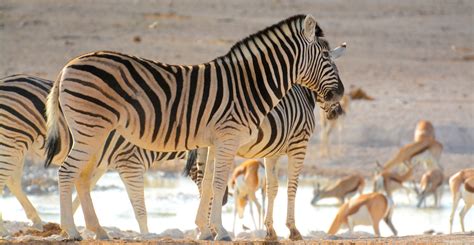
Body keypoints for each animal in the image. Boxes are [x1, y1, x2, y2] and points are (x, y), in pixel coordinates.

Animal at [0, 74, 186, 235]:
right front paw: (146, 235)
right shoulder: (129, 161)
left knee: (12, 179)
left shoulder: (102, 163)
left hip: (17, 144)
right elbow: (139, 205)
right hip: (13, 140)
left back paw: (36, 221)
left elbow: (85, 187)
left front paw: (72, 225)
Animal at [45, 14, 344, 240]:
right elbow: (220, 183)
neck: (247, 85)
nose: (339, 96)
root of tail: (67, 66)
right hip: (89, 129)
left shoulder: (213, 141)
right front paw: (222, 232)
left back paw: (99, 231)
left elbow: (210, 184)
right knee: (66, 172)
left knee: (82, 177)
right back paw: (72, 232)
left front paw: (207, 230)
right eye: (326, 56)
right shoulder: (230, 138)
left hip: (95, 132)